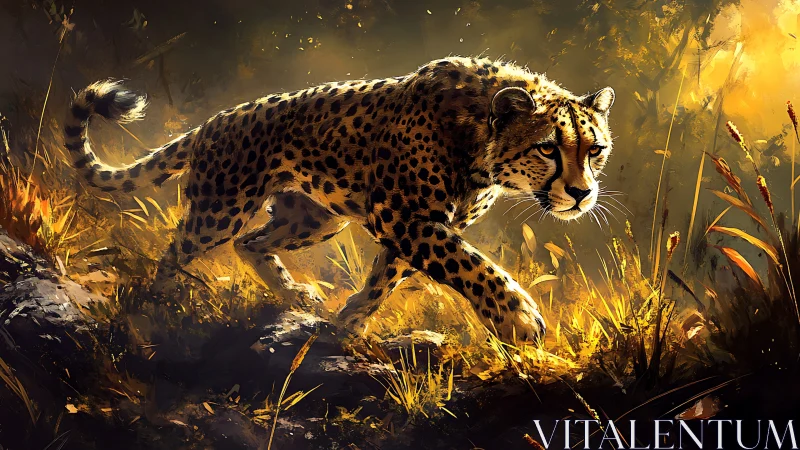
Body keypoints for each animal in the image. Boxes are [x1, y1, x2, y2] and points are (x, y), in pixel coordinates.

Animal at [63, 56, 615, 344]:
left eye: (596, 150)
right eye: (548, 148)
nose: (582, 193)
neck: (481, 144)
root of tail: (210, 123)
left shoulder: (418, 226)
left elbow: (385, 279)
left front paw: (348, 322)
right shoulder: (403, 217)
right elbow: (472, 266)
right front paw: (518, 318)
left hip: (317, 217)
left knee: (251, 243)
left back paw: (293, 295)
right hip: (221, 210)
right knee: (179, 249)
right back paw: (158, 302)